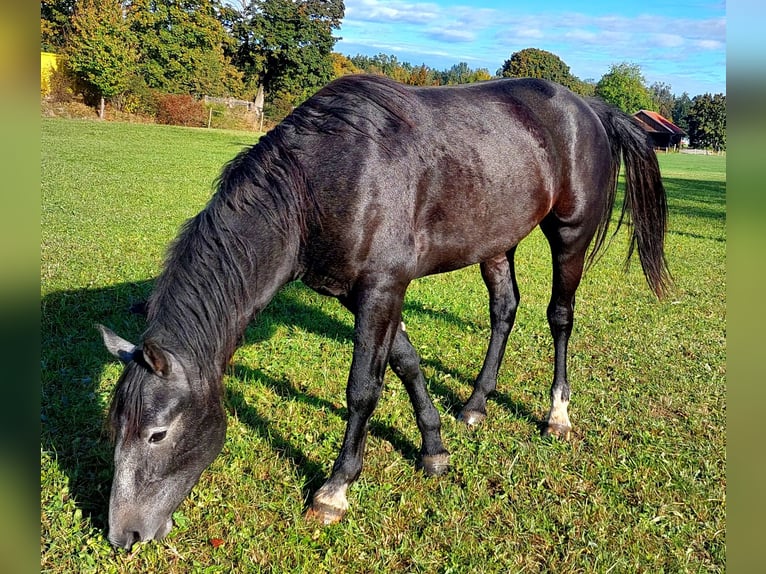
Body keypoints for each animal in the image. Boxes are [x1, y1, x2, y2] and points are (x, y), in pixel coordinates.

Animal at [99, 74, 668, 552]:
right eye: (115, 427)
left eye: (157, 434)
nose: (124, 535)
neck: (318, 182)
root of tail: (589, 106)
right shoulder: (362, 293)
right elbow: (407, 363)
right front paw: (434, 448)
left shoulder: (381, 289)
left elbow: (363, 389)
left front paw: (335, 489)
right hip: (496, 242)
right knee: (504, 310)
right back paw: (476, 404)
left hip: (569, 235)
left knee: (559, 317)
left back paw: (557, 414)